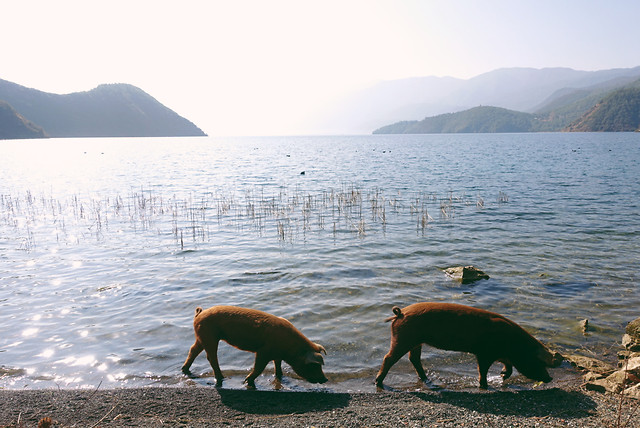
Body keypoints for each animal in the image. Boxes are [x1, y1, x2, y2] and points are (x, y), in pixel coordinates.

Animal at [181, 306, 328, 386]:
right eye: (314, 365)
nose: (325, 379)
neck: (290, 348)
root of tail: (200, 313)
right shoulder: (263, 351)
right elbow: (259, 367)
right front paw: (246, 381)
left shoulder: (276, 354)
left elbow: (278, 366)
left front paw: (280, 377)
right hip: (209, 337)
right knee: (211, 357)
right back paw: (222, 378)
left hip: (202, 337)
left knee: (193, 350)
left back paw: (184, 370)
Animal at [372, 302, 564, 390]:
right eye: (537, 362)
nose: (549, 379)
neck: (512, 344)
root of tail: (400, 313)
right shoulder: (484, 353)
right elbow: (483, 370)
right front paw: (485, 386)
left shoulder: (499, 354)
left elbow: (507, 365)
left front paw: (503, 376)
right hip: (403, 339)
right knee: (389, 358)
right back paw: (378, 382)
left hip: (416, 342)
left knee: (414, 358)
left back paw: (426, 379)